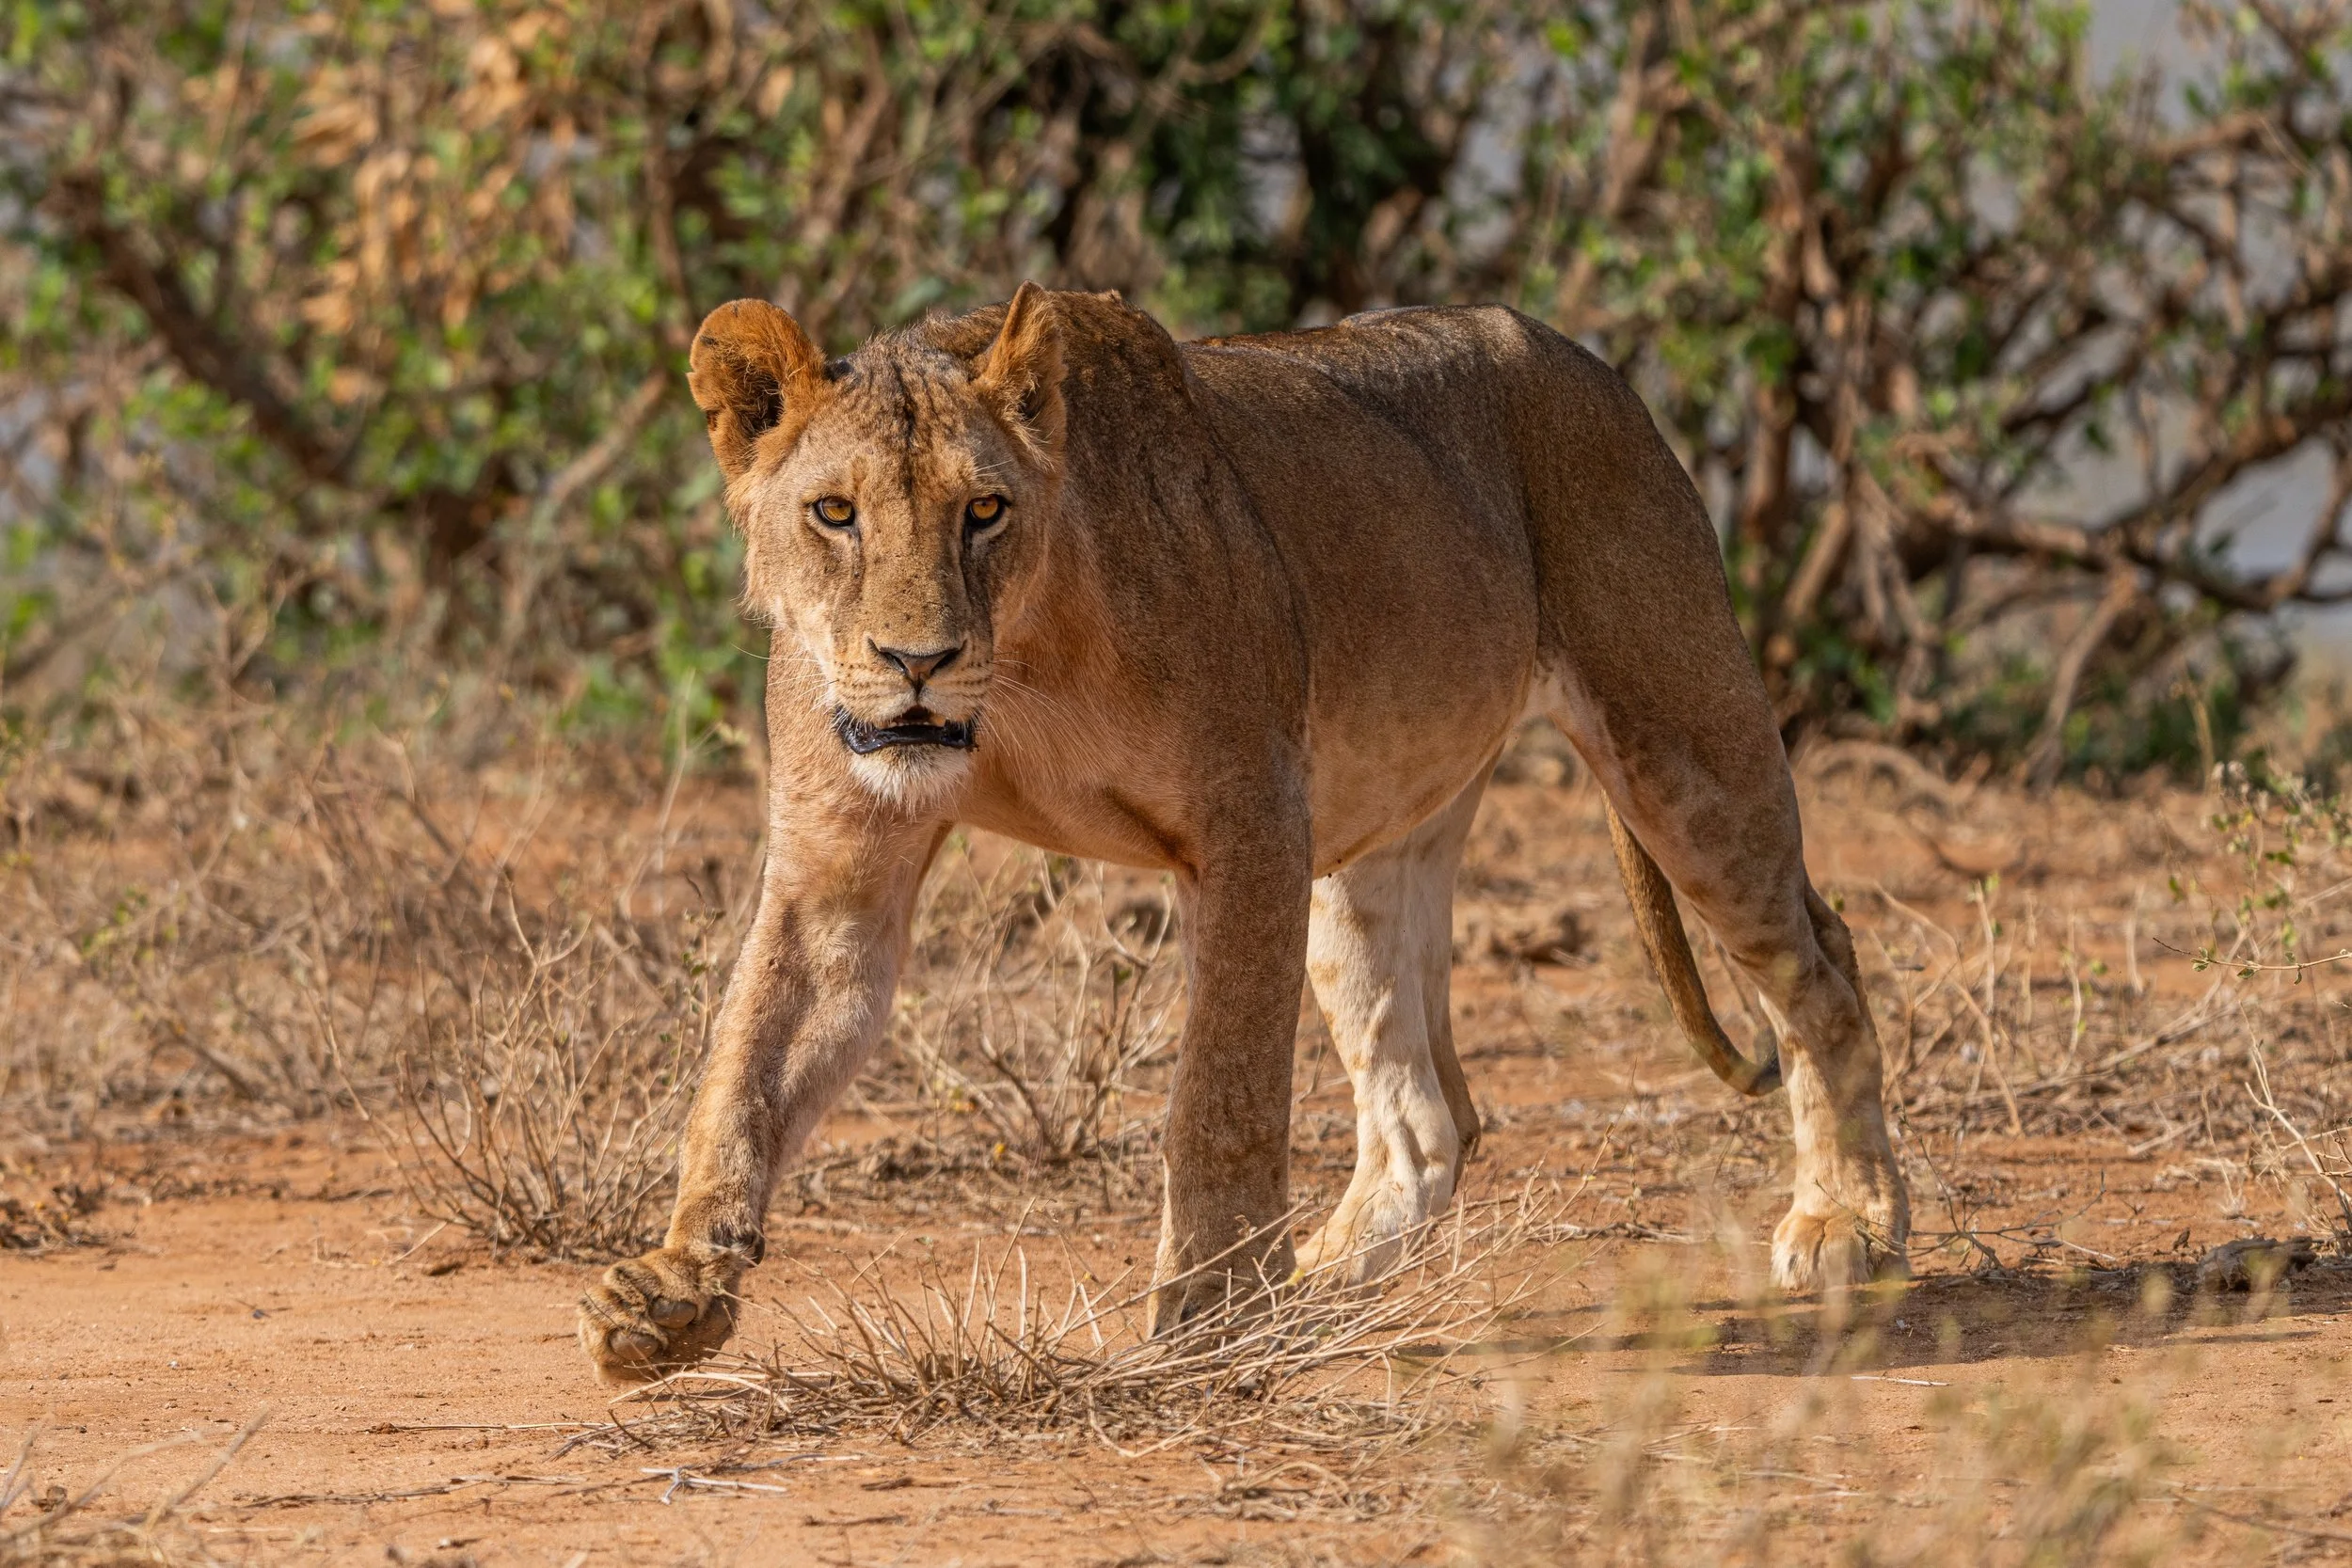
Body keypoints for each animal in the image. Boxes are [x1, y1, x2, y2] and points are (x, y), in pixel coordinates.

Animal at [575, 285, 1910, 1382]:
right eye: (835, 512)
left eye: (984, 510)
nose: (917, 660)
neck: (1021, 667)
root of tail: (1581, 355)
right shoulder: (836, 862)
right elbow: (745, 1067)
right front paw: (672, 1290)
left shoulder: (1252, 823)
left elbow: (1218, 1097)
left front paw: (1208, 1311)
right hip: (1370, 847)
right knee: (1430, 1117)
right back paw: (1317, 1286)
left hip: (1679, 746)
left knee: (1820, 965)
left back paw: (1849, 1224)